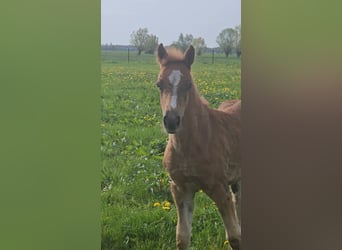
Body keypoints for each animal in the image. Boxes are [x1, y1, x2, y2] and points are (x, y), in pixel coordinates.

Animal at [156, 44, 242, 249]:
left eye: (188, 84)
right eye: (159, 84)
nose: (172, 121)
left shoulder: (220, 189)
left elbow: (234, 237)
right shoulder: (181, 189)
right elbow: (182, 237)